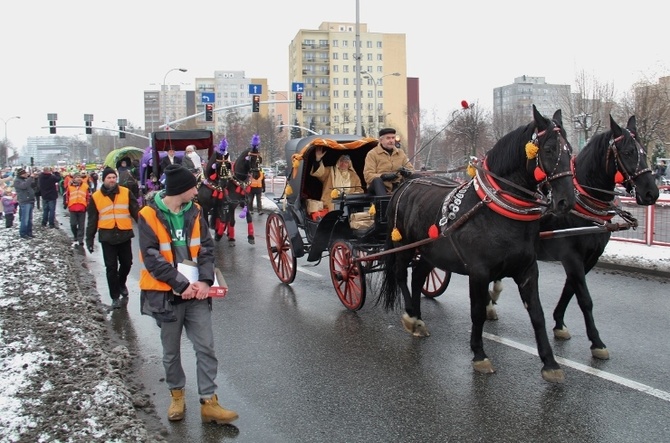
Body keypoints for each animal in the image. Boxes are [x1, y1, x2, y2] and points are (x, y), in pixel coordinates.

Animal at [378, 106, 576, 384]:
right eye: (548, 149)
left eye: (570, 149)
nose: (566, 201)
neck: (495, 210)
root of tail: (405, 183)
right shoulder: (479, 272)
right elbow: (478, 312)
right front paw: (479, 355)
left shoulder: (527, 270)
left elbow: (537, 314)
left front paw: (550, 363)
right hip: (404, 246)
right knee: (399, 275)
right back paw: (410, 316)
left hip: (430, 253)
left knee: (417, 278)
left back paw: (418, 318)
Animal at [494, 114, 660, 360]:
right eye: (629, 152)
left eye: (643, 151)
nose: (652, 193)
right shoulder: (571, 256)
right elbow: (584, 298)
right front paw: (596, 342)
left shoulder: (590, 257)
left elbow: (570, 289)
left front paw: (559, 323)